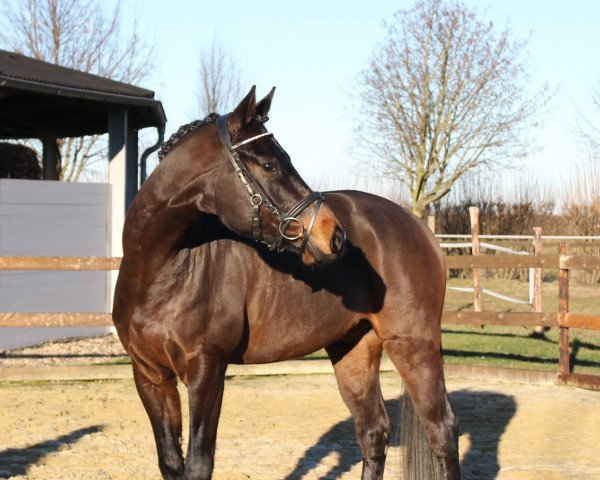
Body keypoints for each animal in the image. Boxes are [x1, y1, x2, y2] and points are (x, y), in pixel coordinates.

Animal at [111, 86, 460, 480]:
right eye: (269, 165)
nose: (333, 234)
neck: (162, 271)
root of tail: (419, 228)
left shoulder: (207, 371)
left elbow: (199, 463)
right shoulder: (150, 375)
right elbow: (171, 462)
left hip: (413, 345)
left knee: (442, 431)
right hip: (354, 350)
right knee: (374, 431)